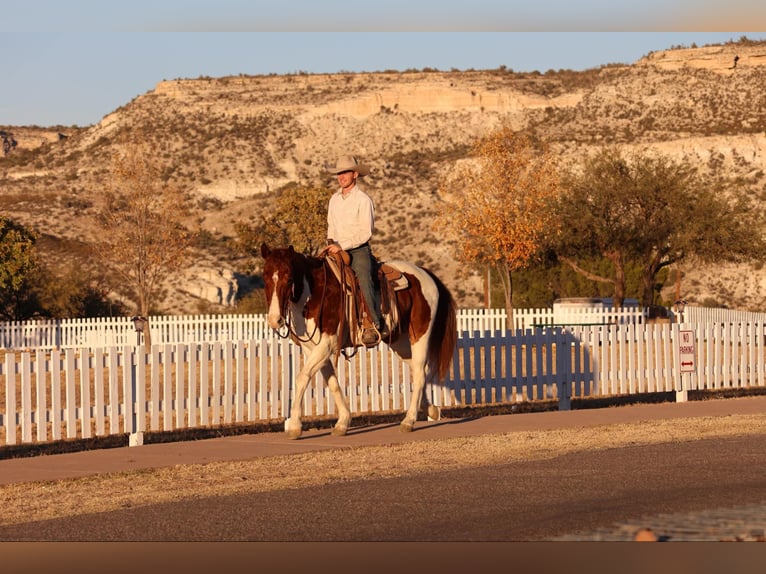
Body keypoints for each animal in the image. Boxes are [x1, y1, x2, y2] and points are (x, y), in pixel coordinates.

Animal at [260, 243, 458, 439]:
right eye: (265, 276)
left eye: (289, 277)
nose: (275, 320)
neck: (314, 293)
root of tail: (427, 274)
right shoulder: (312, 348)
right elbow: (332, 382)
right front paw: (343, 422)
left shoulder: (327, 344)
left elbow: (302, 378)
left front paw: (294, 426)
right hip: (400, 342)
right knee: (419, 370)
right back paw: (430, 409)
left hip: (420, 334)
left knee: (419, 372)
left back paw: (408, 421)